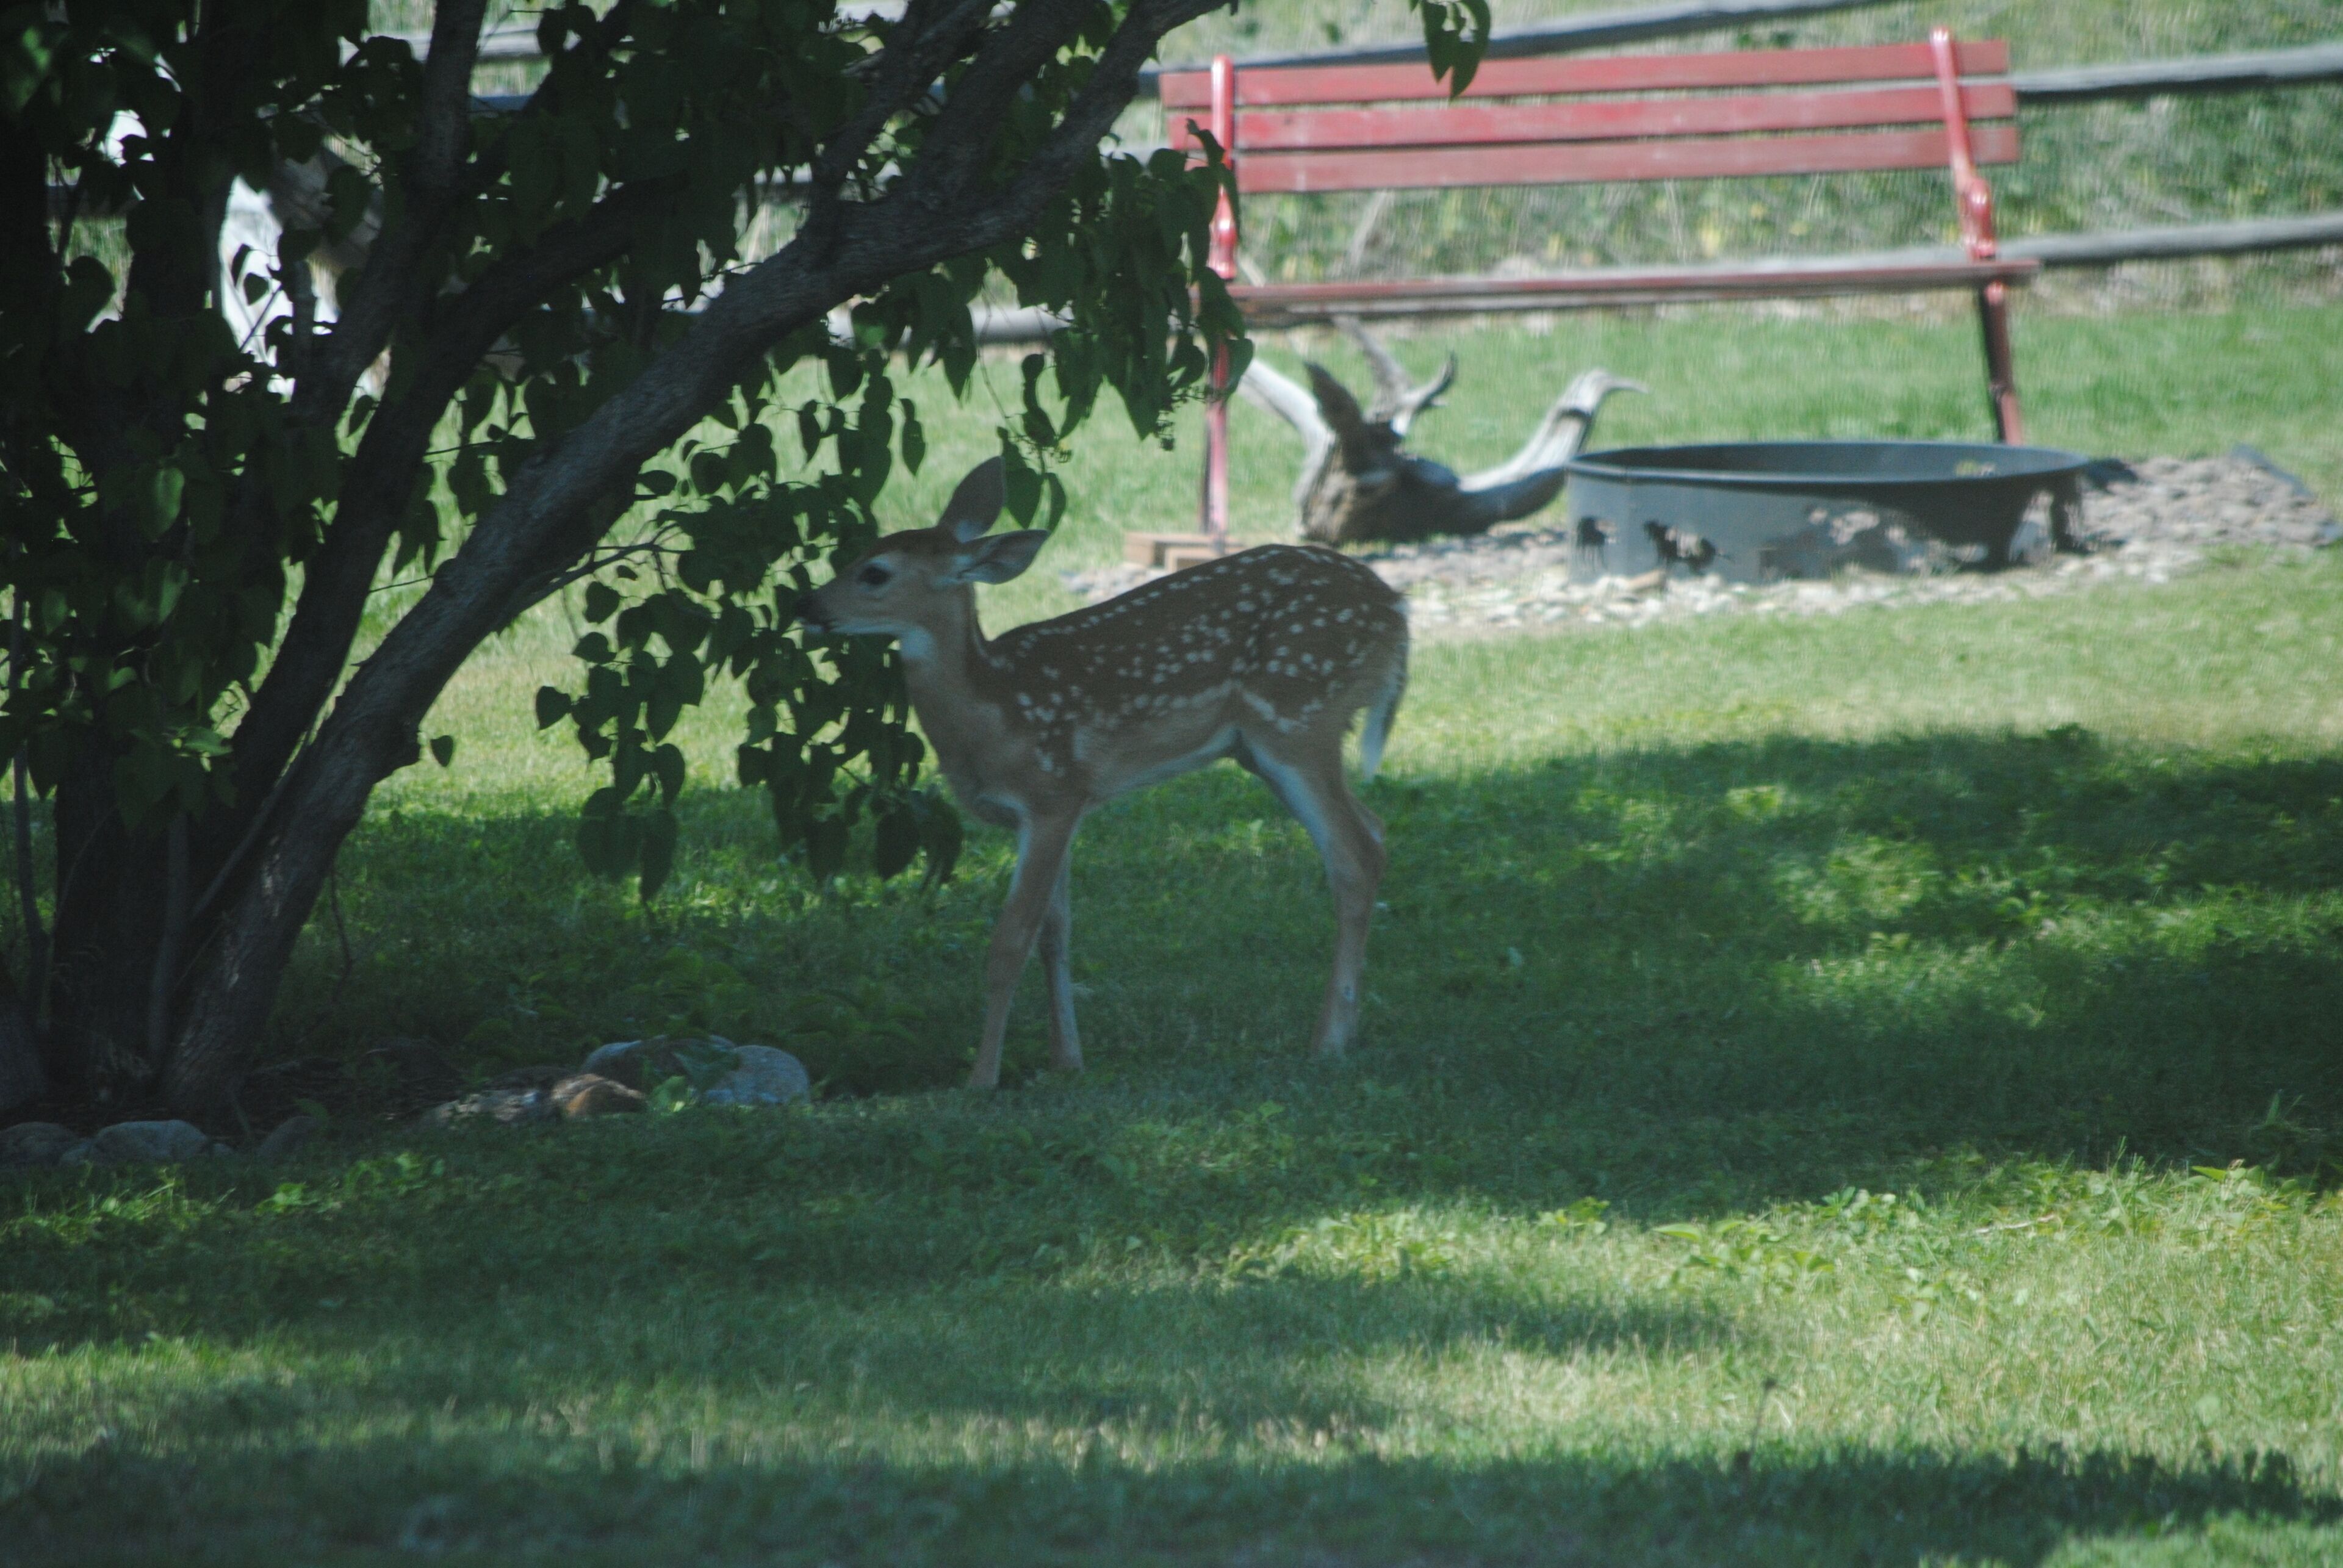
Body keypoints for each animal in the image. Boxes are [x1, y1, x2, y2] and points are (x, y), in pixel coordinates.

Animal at [795, 458, 1409, 1090]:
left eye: (875, 573)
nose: (807, 607)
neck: (994, 710)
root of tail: (1397, 614)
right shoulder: (1061, 809)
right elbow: (1054, 934)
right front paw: (1067, 1061)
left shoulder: (1053, 792)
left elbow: (1010, 941)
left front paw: (982, 1079)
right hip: (1268, 746)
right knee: (1375, 829)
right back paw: (1347, 1031)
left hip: (1298, 717)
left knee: (1354, 854)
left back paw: (1327, 1042)